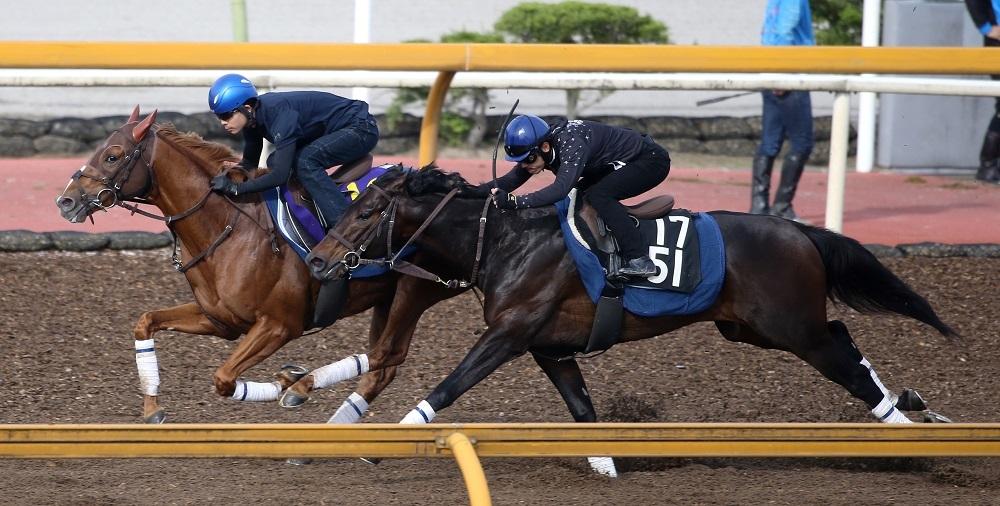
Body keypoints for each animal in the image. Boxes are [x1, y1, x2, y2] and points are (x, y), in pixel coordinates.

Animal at [292, 167, 956, 426]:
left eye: (368, 211)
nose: (319, 260)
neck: (508, 239)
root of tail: (799, 231)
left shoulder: (508, 334)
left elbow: (449, 386)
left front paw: (394, 440)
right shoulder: (549, 346)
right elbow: (583, 410)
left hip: (790, 326)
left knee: (842, 358)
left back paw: (898, 418)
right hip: (752, 327)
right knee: (841, 337)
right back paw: (909, 404)